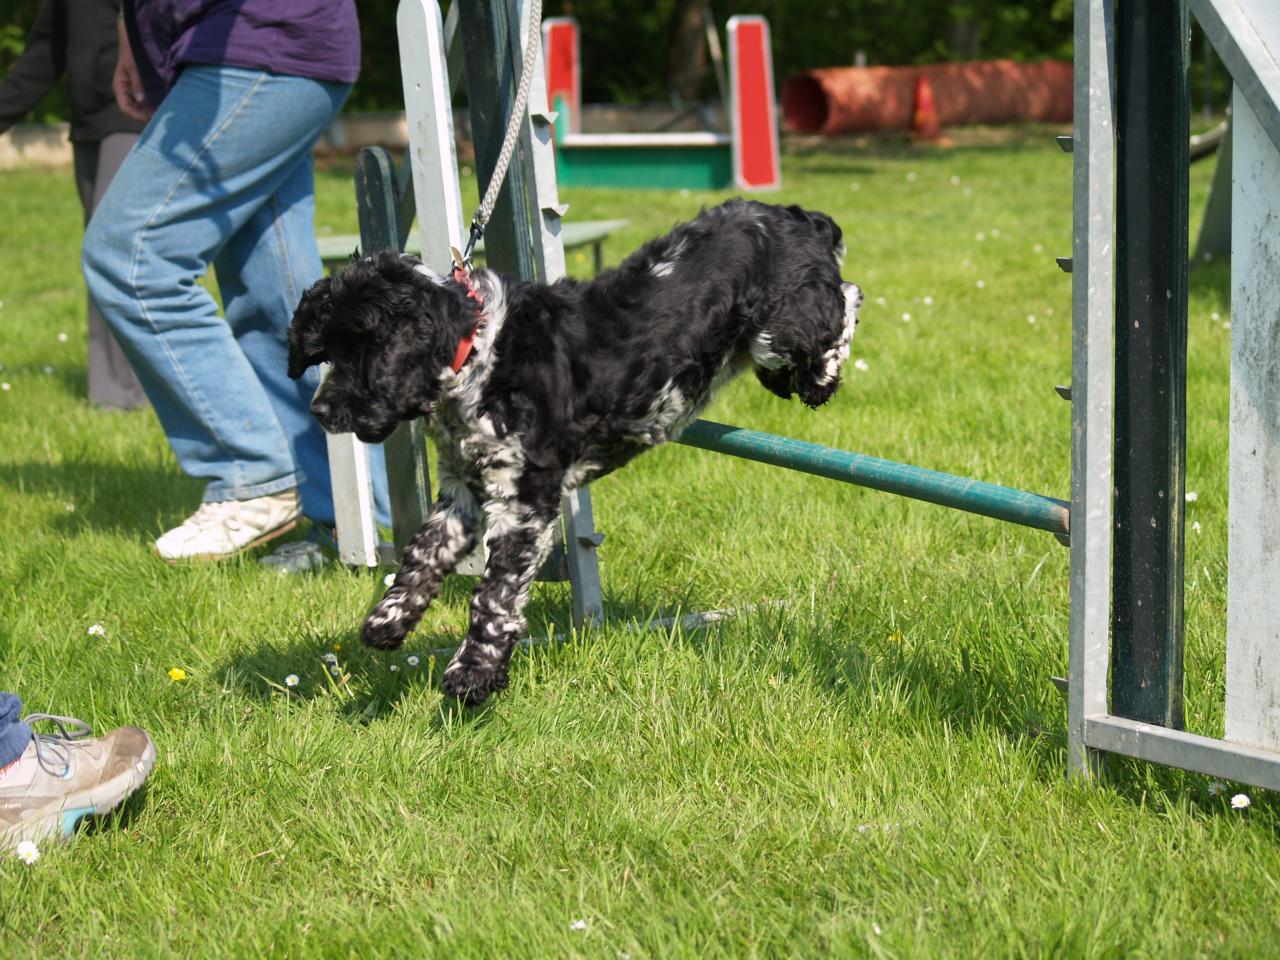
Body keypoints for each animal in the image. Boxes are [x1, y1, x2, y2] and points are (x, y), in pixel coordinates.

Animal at [290, 199, 865, 701]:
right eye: (327, 351)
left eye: (363, 350)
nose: (321, 411)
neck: (480, 354)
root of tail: (796, 216)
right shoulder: (463, 490)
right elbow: (420, 555)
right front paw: (387, 621)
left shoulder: (524, 496)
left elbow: (494, 592)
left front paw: (473, 674)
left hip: (778, 331)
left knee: (846, 297)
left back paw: (824, 376)